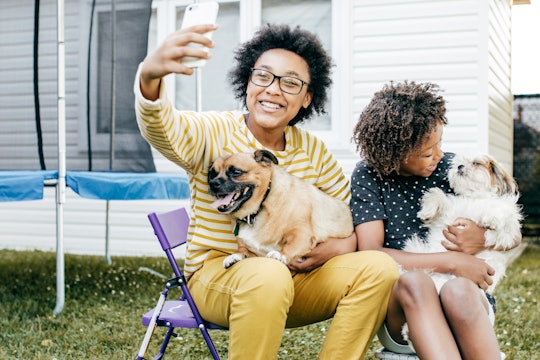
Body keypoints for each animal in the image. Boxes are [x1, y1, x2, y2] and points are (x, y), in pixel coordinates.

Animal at [208, 148, 354, 268]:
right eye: (212, 174)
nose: (213, 183)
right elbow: (243, 250)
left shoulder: (301, 233)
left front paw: (280, 254)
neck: (257, 210)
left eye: (236, 172)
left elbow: (291, 245)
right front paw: (235, 256)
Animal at [400, 153, 524, 294]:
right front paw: (427, 212)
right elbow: (436, 195)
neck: (474, 196)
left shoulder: (508, 231)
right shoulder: (448, 215)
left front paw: (490, 219)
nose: (459, 166)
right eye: (458, 162)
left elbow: (500, 210)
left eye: (476, 163)